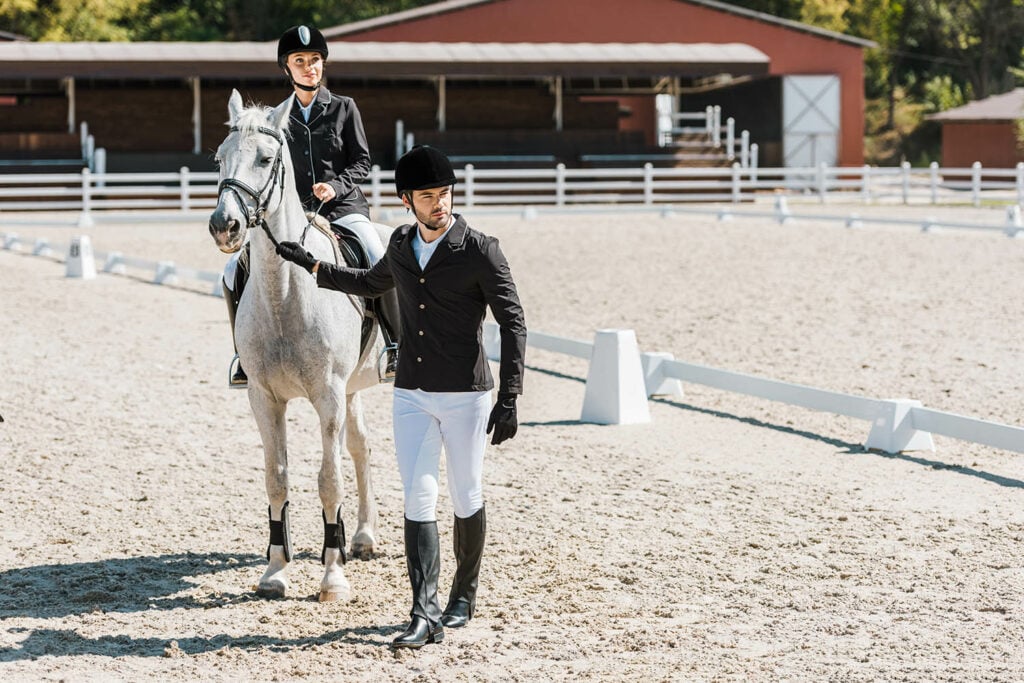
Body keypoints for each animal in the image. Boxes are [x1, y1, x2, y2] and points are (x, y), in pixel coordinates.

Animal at [207, 90, 385, 602]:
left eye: (266, 160)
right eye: (219, 158)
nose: (225, 226)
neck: (286, 290)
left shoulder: (327, 396)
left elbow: (328, 480)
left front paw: (333, 577)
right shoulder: (263, 397)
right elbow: (277, 477)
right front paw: (275, 571)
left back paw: (359, 540)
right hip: (351, 389)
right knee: (361, 447)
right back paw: (360, 536)